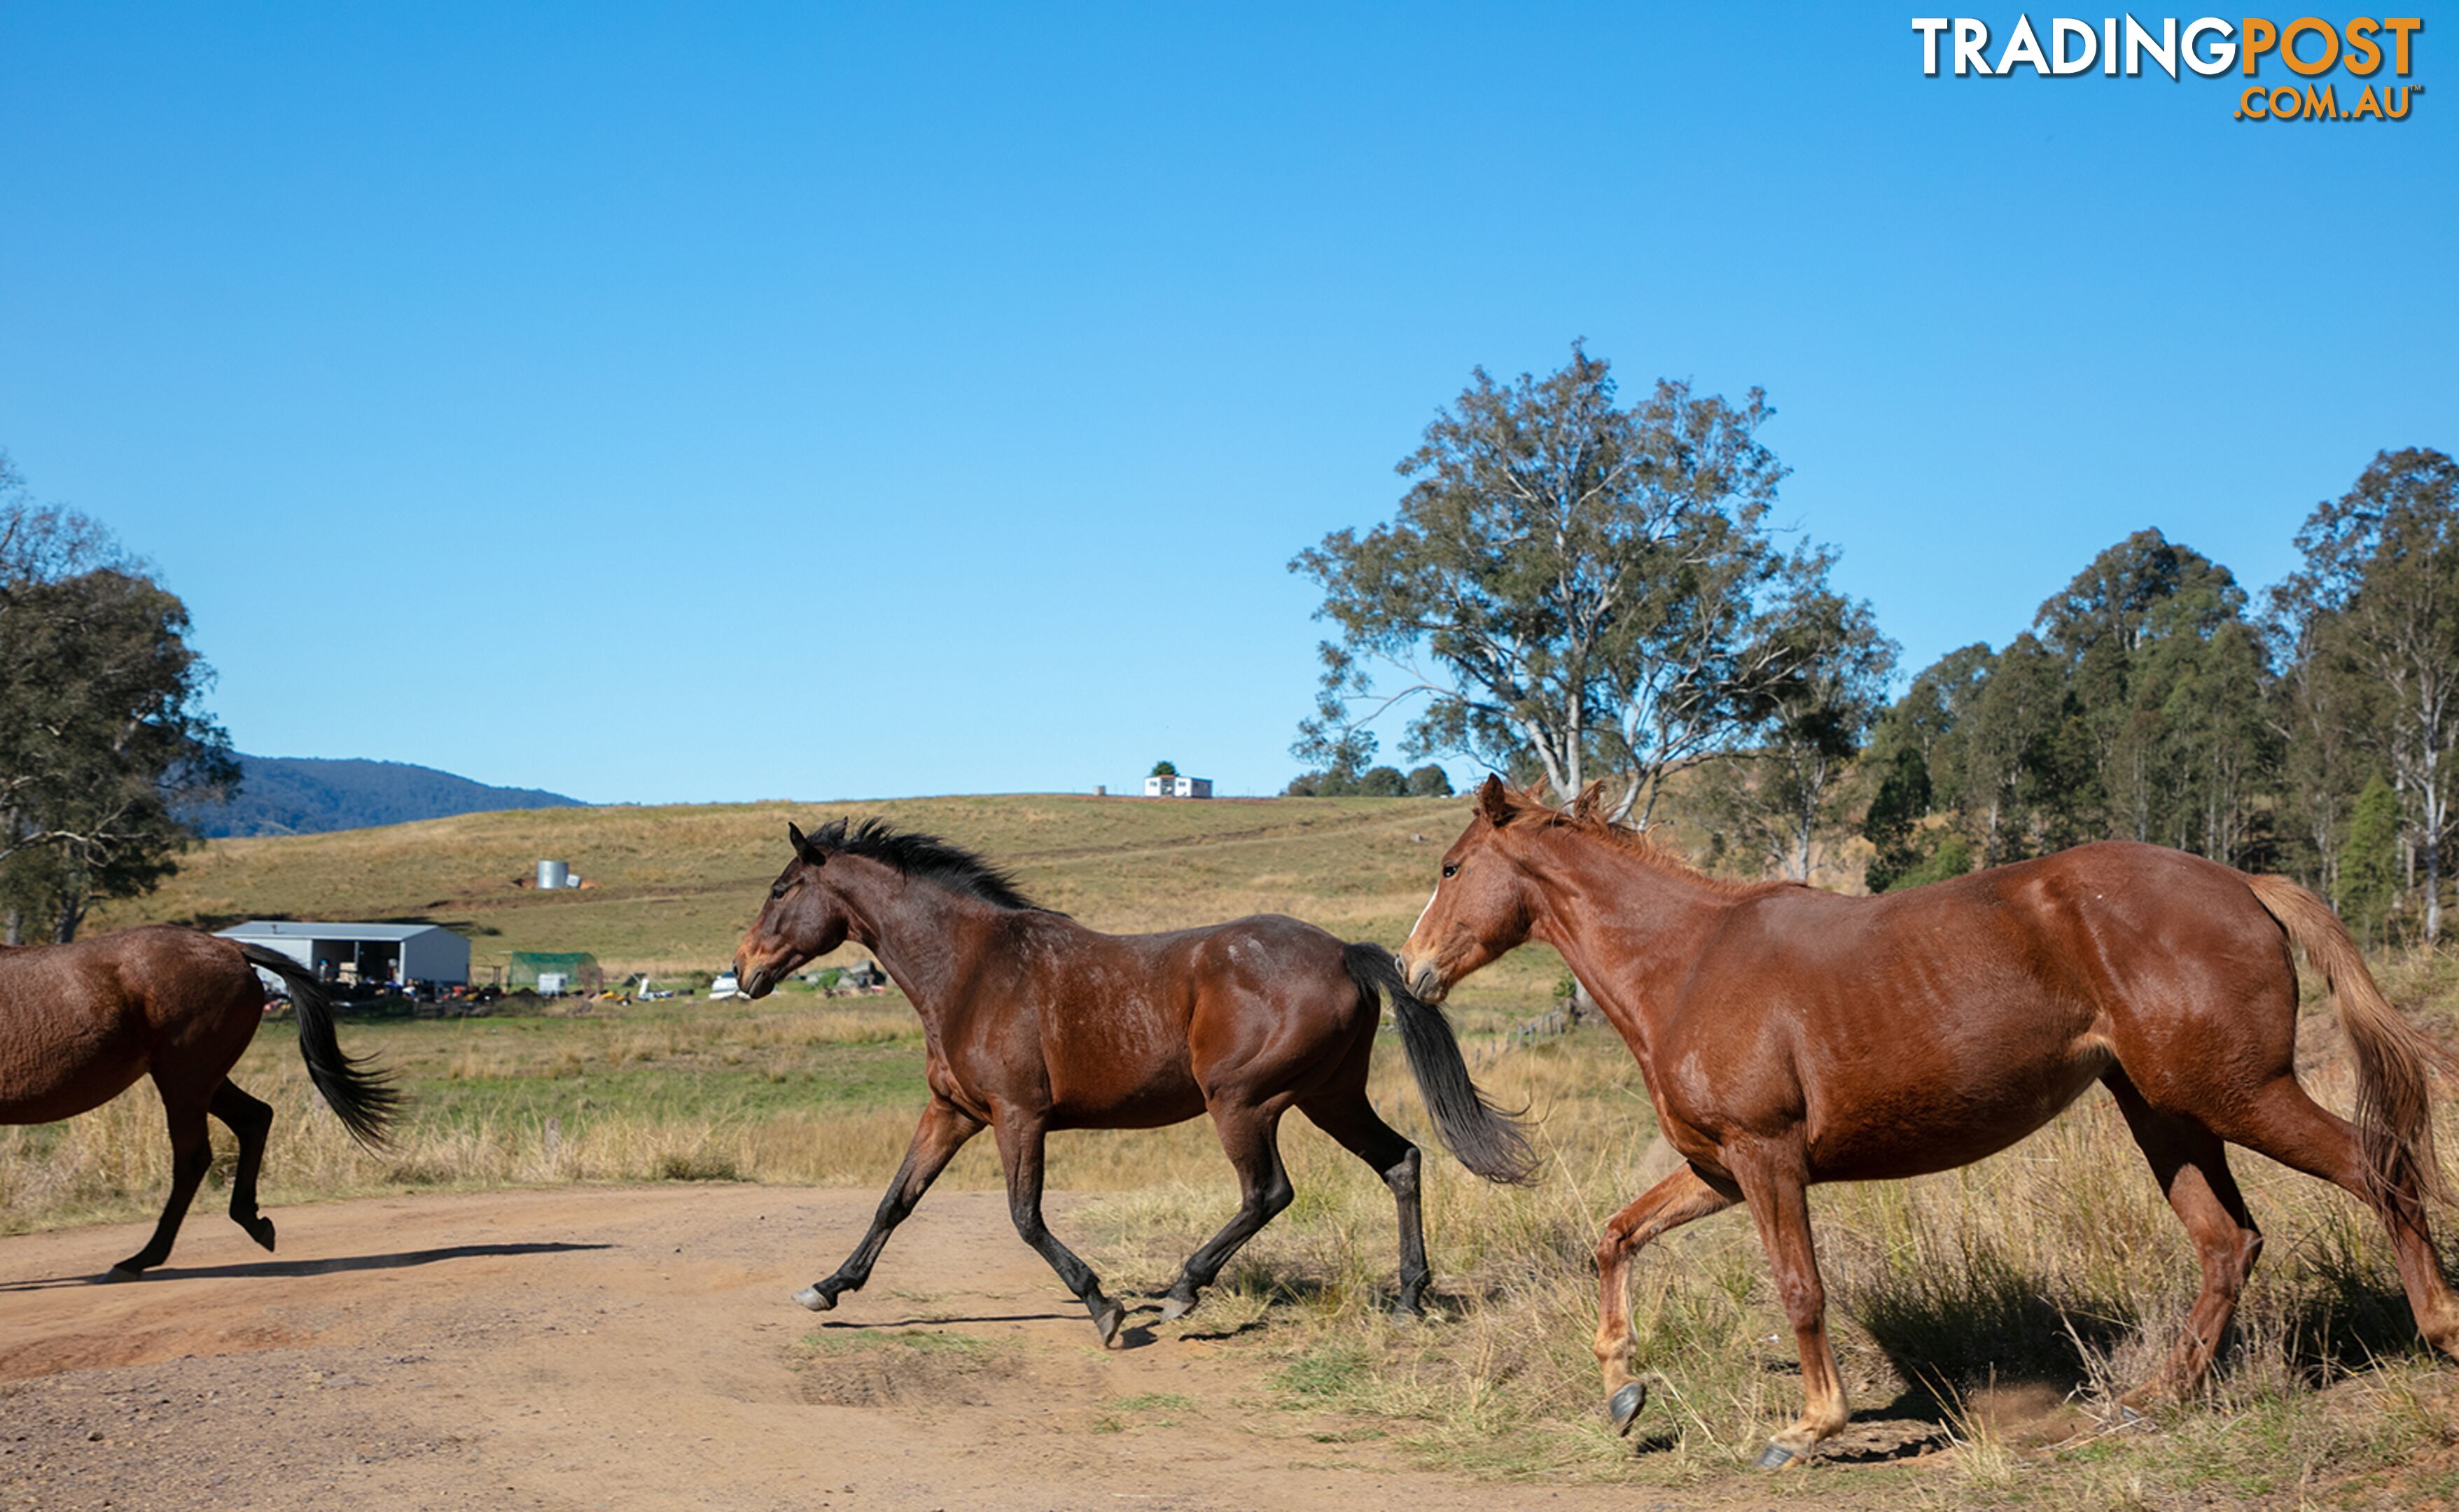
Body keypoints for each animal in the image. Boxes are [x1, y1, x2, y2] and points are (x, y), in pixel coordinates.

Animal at [1, 929, 393, 1268]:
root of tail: (230, 946)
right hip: (204, 1080)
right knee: (254, 1118)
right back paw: (252, 1221)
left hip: (185, 1078)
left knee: (193, 1158)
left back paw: (144, 1258)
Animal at [727, 821, 1534, 1347]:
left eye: (778, 890)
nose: (741, 971)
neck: (969, 970)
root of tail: (1343, 952)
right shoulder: (952, 1112)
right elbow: (895, 1202)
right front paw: (828, 1287)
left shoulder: (1018, 1116)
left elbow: (1025, 1218)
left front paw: (1104, 1307)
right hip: (1327, 1097)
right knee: (1401, 1162)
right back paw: (1407, 1298)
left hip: (1243, 1103)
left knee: (1267, 1193)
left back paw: (1181, 1292)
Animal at [1406, 781, 2459, 1465]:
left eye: (1452, 868)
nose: (1413, 969)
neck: (1689, 961)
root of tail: (2243, 886)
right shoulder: (1716, 1172)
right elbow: (1616, 1236)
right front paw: (1623, 1386)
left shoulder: (1766, 1158)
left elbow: (1800, 1291)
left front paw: (1809, 1428)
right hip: (2168, 1115)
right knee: (2228, 1243)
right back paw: (2152, 1399)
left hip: (2241, 1094)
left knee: (2378, 1169)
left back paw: (2441, 1327)